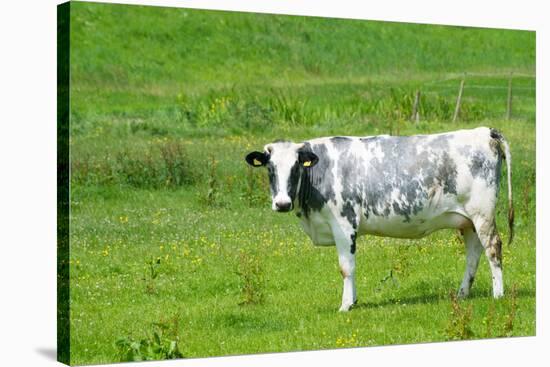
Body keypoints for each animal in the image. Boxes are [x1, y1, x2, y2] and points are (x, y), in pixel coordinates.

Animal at [248, 128, 516, 312]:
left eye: (296, 167)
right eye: (270, 169)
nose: (282, 203)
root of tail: (485, 131)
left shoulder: (344, 224)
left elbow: (346, 267)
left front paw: (345, 305)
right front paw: (353, 301)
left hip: (482, 213)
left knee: (493, 248)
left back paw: (498, 295)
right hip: (467, 220)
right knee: (473, 254)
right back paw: (462, 293)